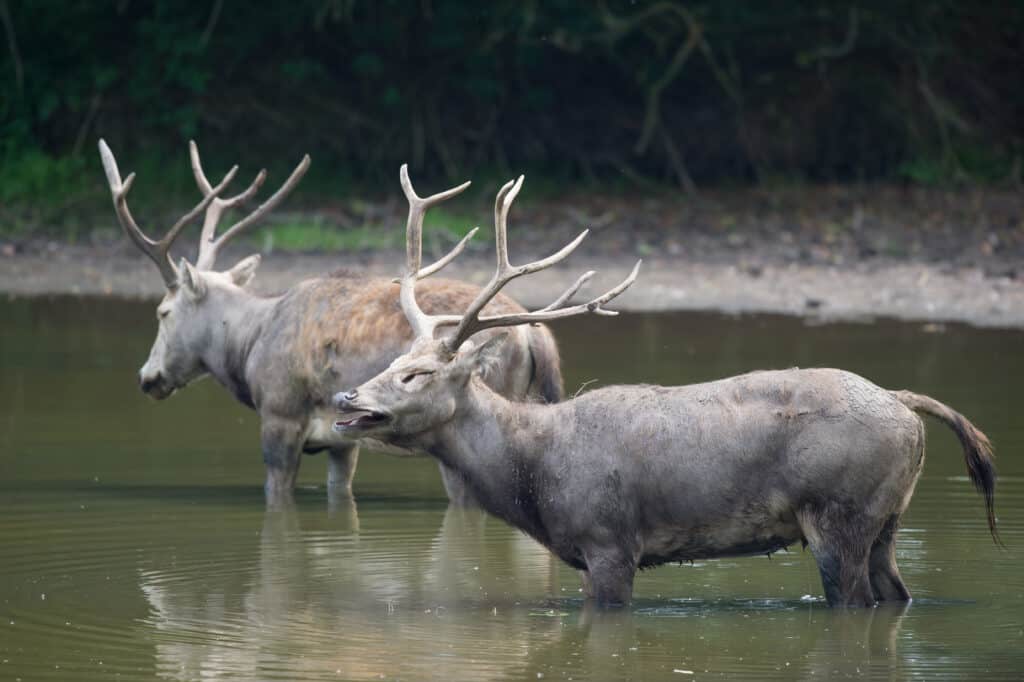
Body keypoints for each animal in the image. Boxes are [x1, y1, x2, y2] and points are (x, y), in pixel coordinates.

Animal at [98, 138, 565, 501]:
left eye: (162, 311)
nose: (147, 376)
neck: (248, 347)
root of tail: (537, 338)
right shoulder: (342, 440)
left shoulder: (280, 415)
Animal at [333, 169, 999, 606]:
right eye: (395, 359)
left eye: (417, 374)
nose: (348, 400)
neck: (533, 472)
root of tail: (904, 405)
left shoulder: (608, 539)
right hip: (888, 517)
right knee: (897, 596)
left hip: (841, 512)